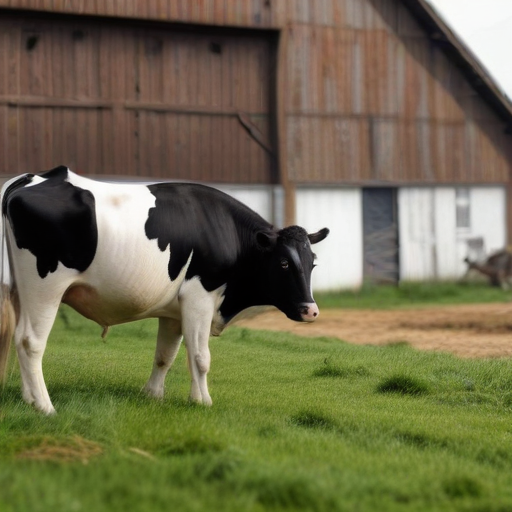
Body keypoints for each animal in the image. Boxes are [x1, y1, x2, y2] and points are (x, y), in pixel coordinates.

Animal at [0, 166, 328, 414]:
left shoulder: (173, 311)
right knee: (30, 341)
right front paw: (202, 401)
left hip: (19, 289)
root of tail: (35, 177)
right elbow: (200, 356)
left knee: (15, 337)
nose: (311, 310)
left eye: (313, 262)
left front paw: (153, 395)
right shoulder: (199, 298)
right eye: (284, 263)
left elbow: (165, 355)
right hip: (45, 285)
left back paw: (29, 399)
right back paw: (45, 406)